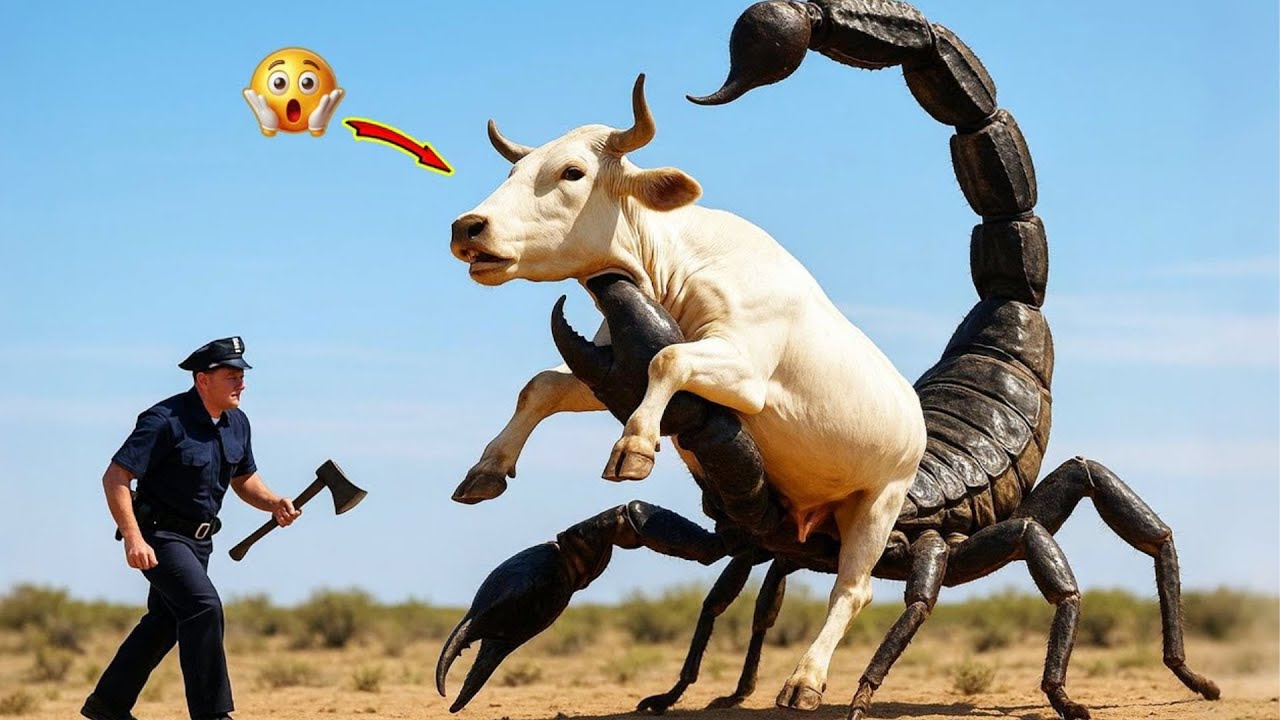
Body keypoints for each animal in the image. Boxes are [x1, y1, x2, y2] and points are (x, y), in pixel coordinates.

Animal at [447, 75, 927, 708]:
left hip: (879, 503)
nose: (467, 227)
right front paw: (488, 468)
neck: (680, 263)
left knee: (853, 591)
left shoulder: (745, 375)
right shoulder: (609, 370)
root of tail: (916, 421)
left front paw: (634, 448)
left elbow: (668, 360)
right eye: (513, 171)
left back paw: (804, 681)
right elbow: (542, 386)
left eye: (573, 171)